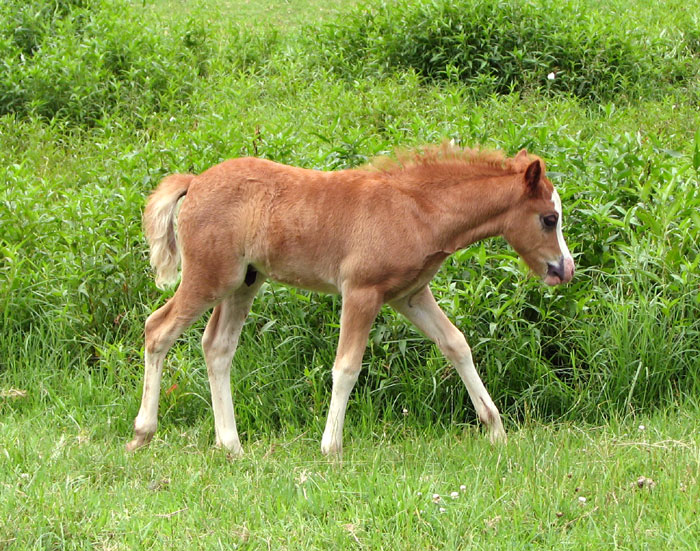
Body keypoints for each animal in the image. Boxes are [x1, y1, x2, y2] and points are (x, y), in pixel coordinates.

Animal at [126, 143, 575, 456]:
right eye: (549, 219)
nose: (564, 270)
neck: (417, 210)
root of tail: (195, 182)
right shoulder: (361, 292)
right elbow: (346, 367)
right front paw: (331, 447)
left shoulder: (410, 295)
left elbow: (456, 344)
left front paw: (496, 430)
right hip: (210, 278)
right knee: (158, 329)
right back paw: (143, 433)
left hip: (244, 283)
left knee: (217, 347)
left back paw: (231, 445)